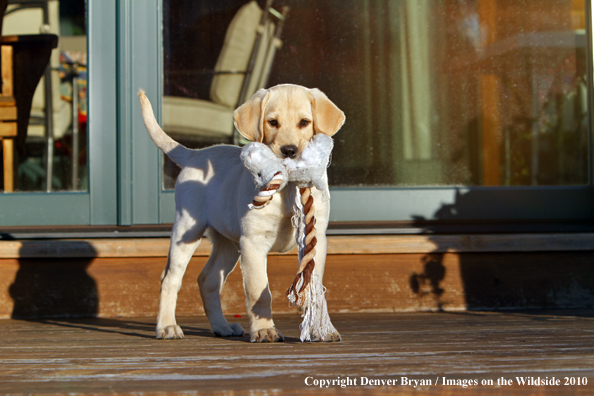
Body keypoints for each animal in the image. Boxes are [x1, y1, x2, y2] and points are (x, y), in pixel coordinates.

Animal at [138, 84, 342, 344]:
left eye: (304, 122)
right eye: (272, 122)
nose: (289, 151)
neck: (286, 187)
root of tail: (194, 154)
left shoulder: (314, 239)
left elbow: (313, 285)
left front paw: (319, 329)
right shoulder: (253, 243)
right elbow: (259, 291)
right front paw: (265, 330)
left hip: (227, 243)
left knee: (208, 280)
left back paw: (222, 327)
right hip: (187, 231)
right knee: (170, 279)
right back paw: (167, 326)